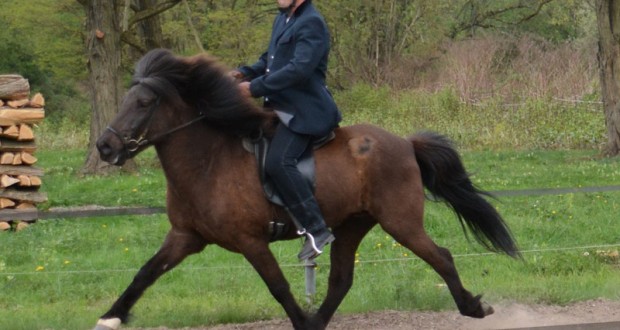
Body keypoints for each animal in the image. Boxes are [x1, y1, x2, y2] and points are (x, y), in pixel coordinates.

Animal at [93, 48, 520, 330]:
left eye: (143, 102)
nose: (105, 147)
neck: (208, 162)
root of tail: (405, 142)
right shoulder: (185, 237)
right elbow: (145, 273)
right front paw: (110, 317)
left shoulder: (250, 240)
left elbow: (279, 288)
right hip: (351, 225)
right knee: (341, 279)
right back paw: (319, 321)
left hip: (400, 221)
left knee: (441, 257)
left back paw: (474, 308)